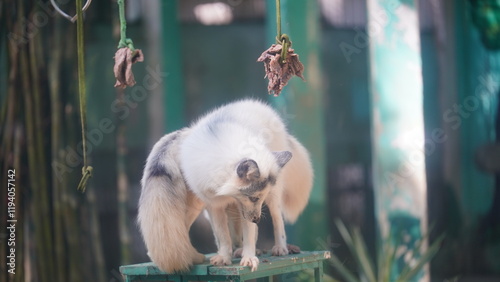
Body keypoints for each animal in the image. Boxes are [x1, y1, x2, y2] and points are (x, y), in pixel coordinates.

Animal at [138, 99, 312, 274]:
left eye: (259, 199)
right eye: (253, 198)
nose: (257, 219)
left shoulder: (247, 207)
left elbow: (249, 234)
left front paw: (249, 257)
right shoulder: (214, 205)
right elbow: (223, 236)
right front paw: (224, 257)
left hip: (272, 197)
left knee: (277, 220)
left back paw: (279, 247)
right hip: (194, 206)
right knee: (182, 231)